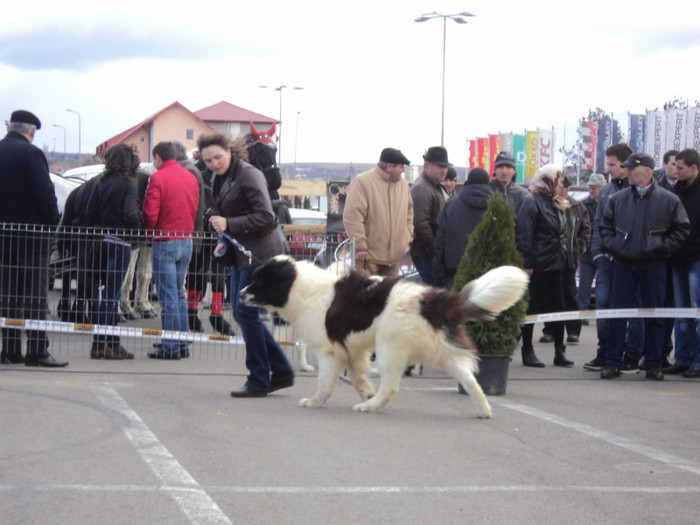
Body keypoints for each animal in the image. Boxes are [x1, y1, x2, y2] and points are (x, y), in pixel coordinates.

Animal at [238, 255, 528, 418]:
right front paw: (365, 393)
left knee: (390, 387)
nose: (240, 294)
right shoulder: (352, 349)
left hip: (390, 348)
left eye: (259, 281)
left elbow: (326, 383)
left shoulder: (330, 351)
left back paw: (370, 408)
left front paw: (316, 402)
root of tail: (431, 299)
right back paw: (484, 410)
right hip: (441, 351)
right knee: (470, 379)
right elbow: (356, 376)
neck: (302, 288)